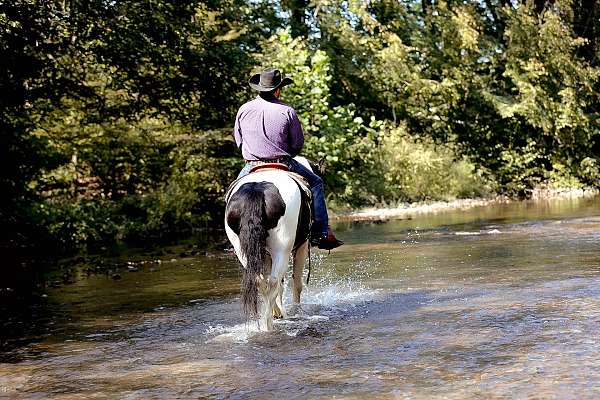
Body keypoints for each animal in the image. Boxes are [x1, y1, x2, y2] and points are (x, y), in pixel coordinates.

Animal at [224, 158, 312, 330]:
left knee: (261, 281)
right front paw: (296, 310)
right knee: (273, 282)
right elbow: (296, 282)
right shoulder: (302, 246)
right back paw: (270, 323)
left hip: (242, 251)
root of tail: (256, 190)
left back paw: (269, 319)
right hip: (282, 250)